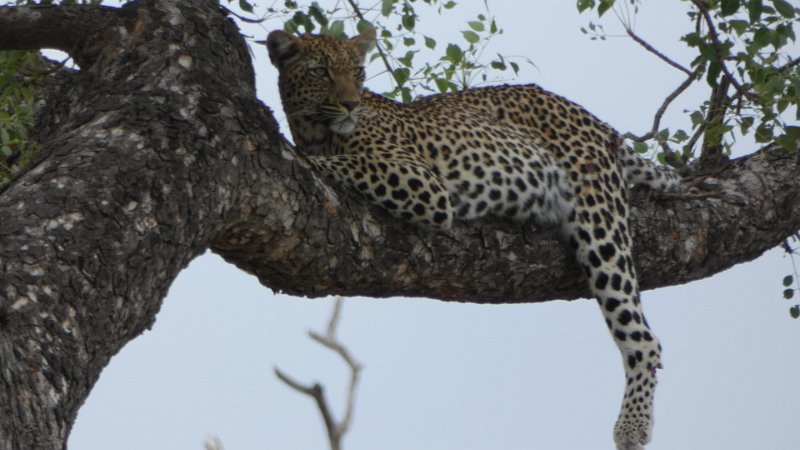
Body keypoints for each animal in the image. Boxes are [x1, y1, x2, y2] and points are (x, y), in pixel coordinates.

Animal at [266, 28, 680, 450]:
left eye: (358, 72)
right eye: (321, 72)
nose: (351, 104)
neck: (316, 131)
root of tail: (597, 123)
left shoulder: (423, 182)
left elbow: (340, 162)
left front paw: (301, 155)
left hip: (599, 220)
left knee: (643, 339)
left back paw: (632, 426)